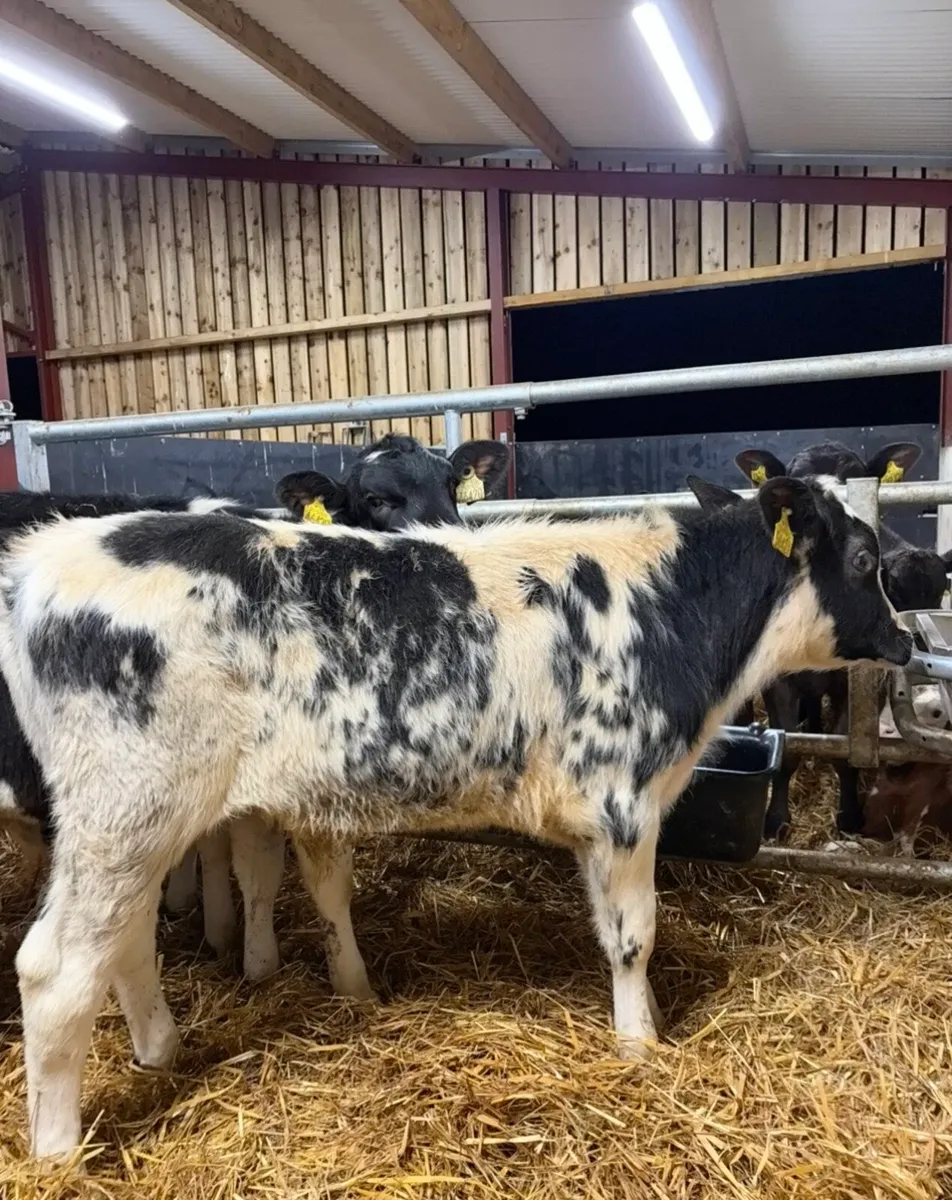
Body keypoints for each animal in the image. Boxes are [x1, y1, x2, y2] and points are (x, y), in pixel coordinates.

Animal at [0, 470, 911, 1160]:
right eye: (867, 557)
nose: (903, 643)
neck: (669, 610)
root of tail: (46, 560)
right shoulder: (623, 801)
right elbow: (633, 937)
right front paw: (639, 1045)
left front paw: (644, 1025)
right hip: (128, 807)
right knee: (53, 969)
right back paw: (58, 1151)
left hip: (133, 824)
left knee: (122, 941)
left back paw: (159, 1049)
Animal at [734, 440, 951, 839]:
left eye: (856, 480)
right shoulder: (777, 678)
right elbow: (787, 744)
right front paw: (776, 821)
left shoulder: (860, 682)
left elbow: (849, 748)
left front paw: (850, 818)